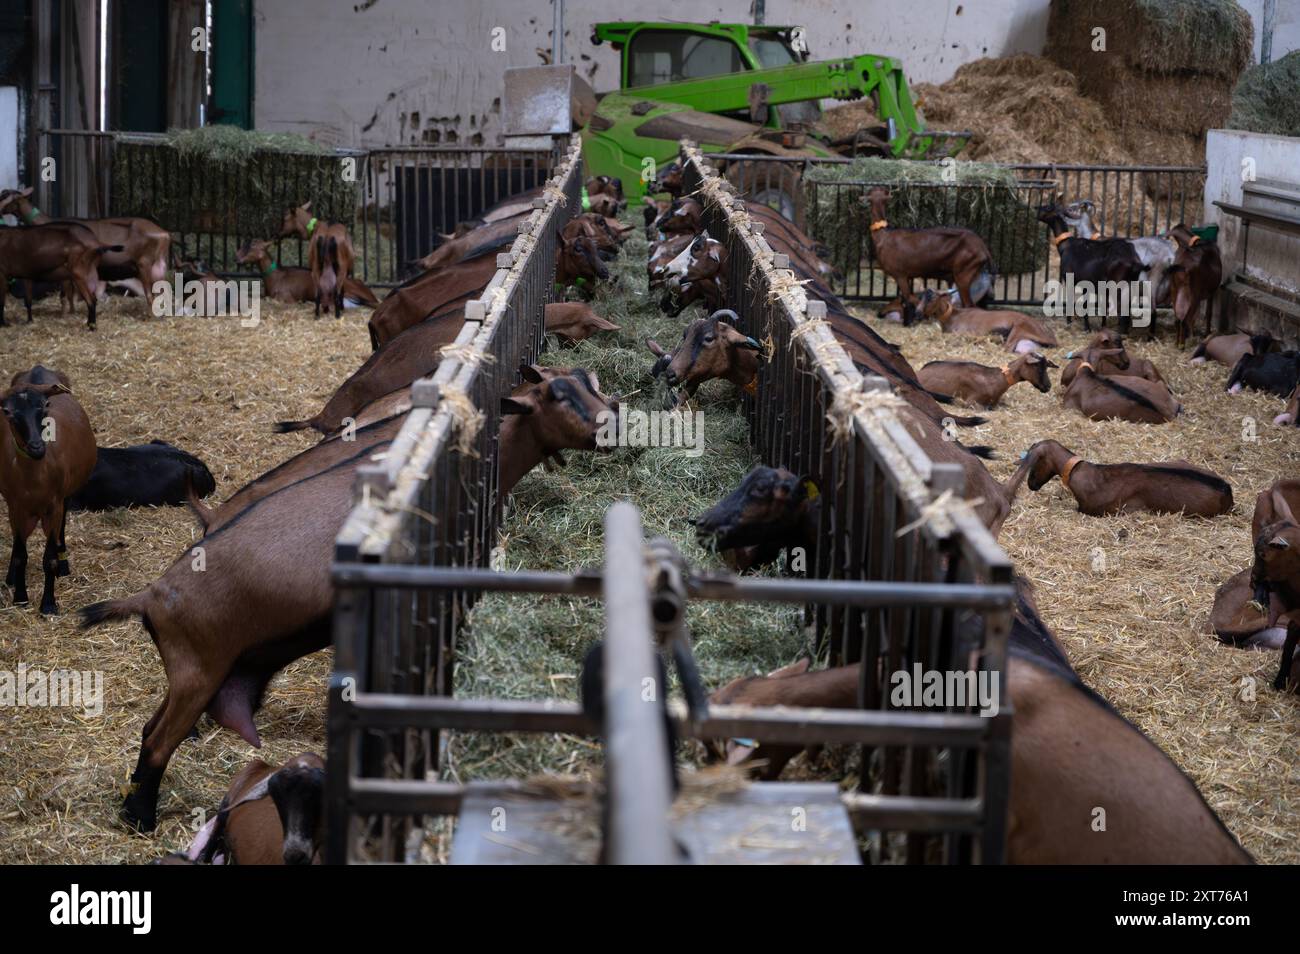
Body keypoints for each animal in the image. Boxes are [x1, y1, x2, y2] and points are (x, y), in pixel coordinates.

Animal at [1, 374, 96, 613]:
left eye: (45, 406)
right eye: (7, 412)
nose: (36, 447)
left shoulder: (55, 505)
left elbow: (49, 559)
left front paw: (48, 604)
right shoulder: (16, 506)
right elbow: (20, 555)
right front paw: (20, 597)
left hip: (65, 496)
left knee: (61, 527)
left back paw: (63, 563)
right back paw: (10, 577)